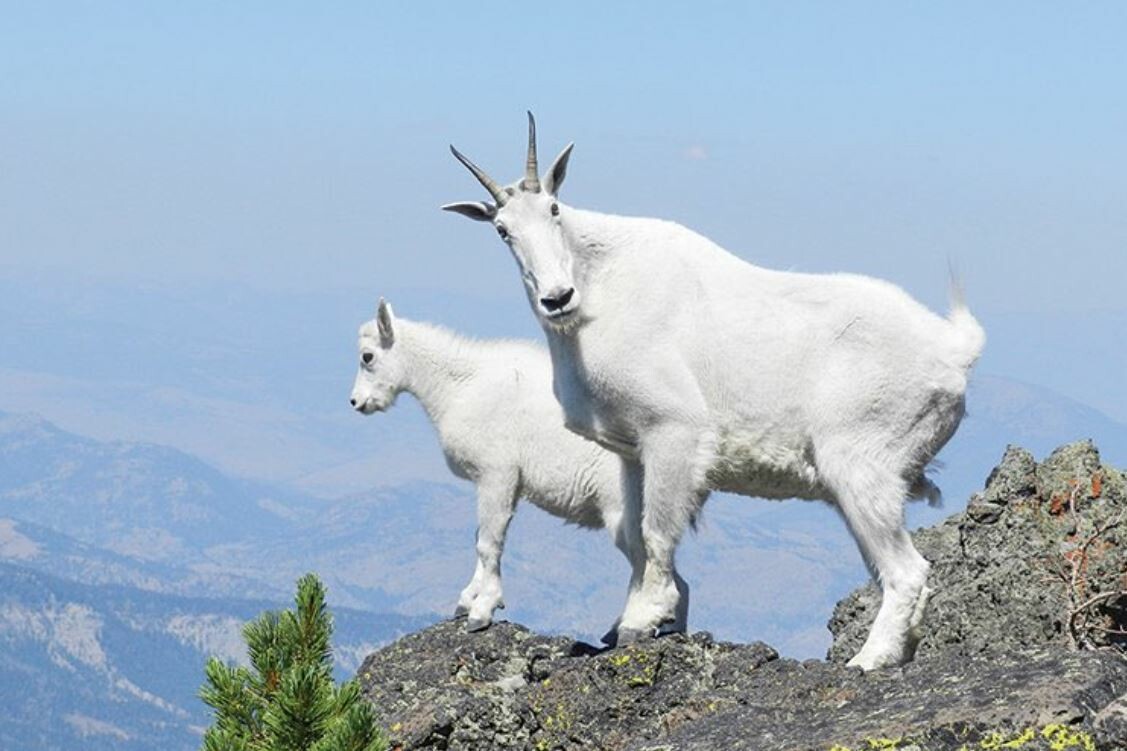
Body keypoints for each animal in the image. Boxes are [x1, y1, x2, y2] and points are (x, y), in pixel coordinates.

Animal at [349, 297, 685, 631]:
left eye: (367, 356)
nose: (356, 402)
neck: (458, 387)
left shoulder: (496, 473)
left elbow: (488, 541)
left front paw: (481, 611)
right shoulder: (502, 482)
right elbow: (482, 537)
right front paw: (467, 600)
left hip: (619, 508)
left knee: (650, 564)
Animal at [441, 112, 987, 667]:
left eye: (554, 208)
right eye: (503, 230)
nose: (557, 297)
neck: (599, 292)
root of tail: (953, 350)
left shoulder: (673, 430)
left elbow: (658, 529)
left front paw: (644, 619)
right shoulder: (631, 450)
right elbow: (636, 532)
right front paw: (630, 620)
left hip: (861, 464)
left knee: (907, 571)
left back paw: (867, 661)